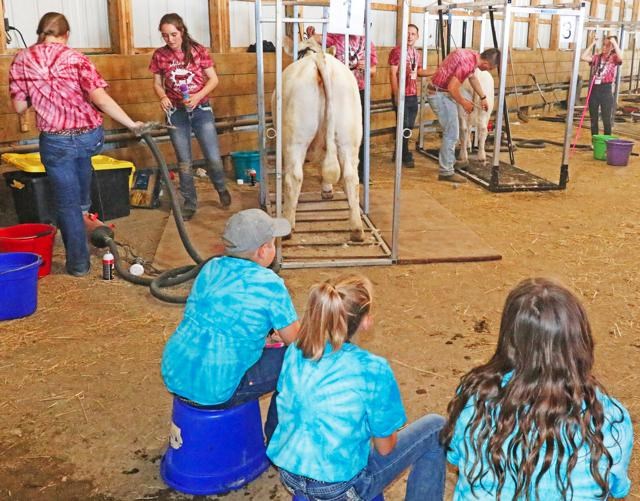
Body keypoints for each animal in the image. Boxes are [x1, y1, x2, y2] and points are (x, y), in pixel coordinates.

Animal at [276, 38, 364, 241]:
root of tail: (320, 60)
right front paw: (327, 189)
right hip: (350, 138)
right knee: (351, 176)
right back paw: (356, 228)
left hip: (295, 139)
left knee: (294, 177)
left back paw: (288, 225)